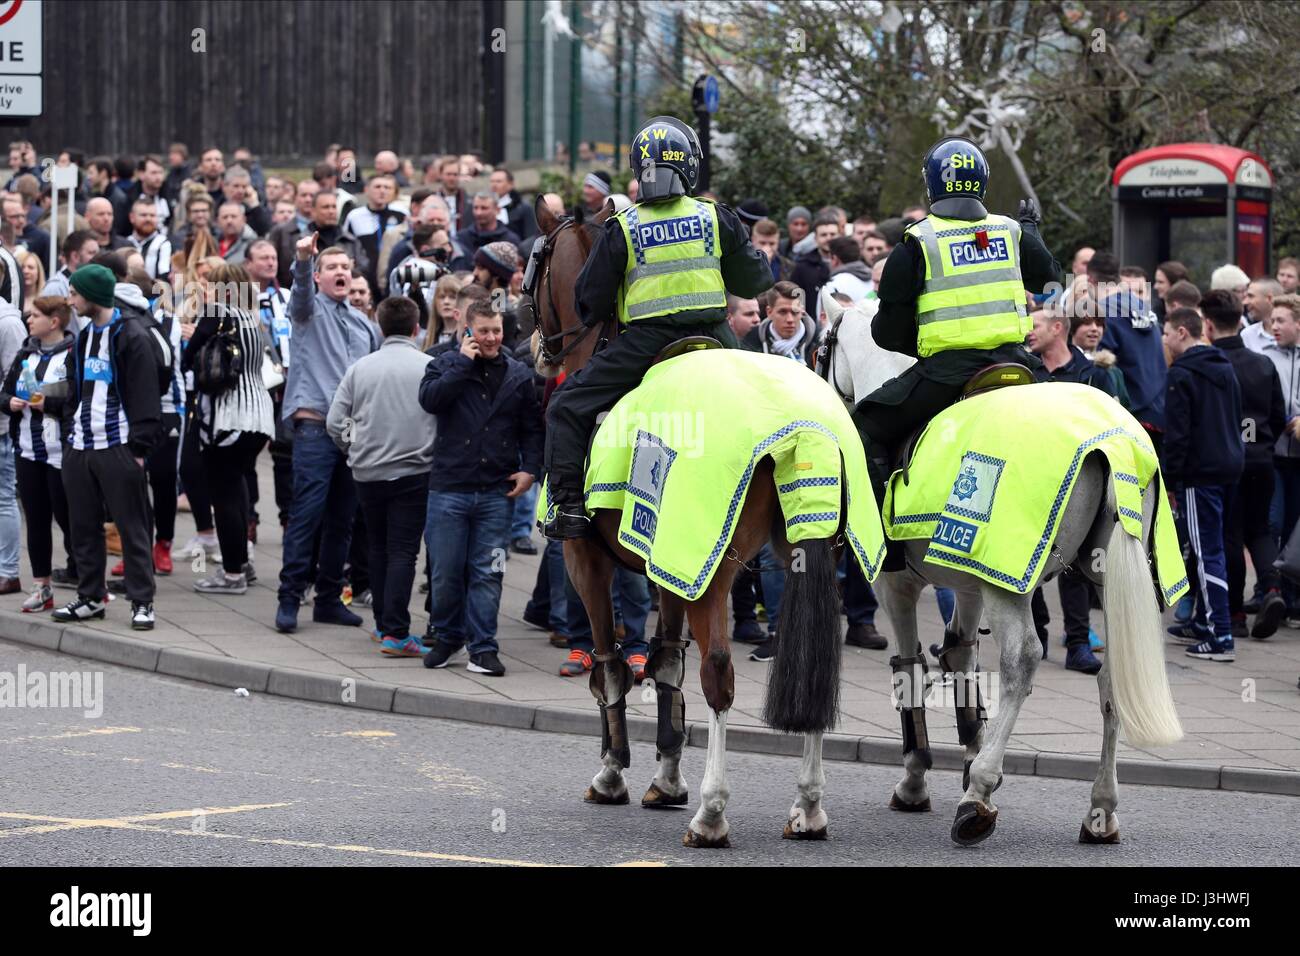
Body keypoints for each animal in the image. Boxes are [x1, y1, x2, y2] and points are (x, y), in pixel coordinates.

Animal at [530, 192, 847, 842]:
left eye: (535, 266)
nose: (535, 348)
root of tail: (798, 425)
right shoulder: (672, 562)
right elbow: (666, 663)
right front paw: (666, 778)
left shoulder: (588, 559)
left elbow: (613, 665)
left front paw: (615, 774)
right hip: (797, 555)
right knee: (814, 669)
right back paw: (807, 806)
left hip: (717, 569)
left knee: (719, 676)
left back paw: (712, 812)